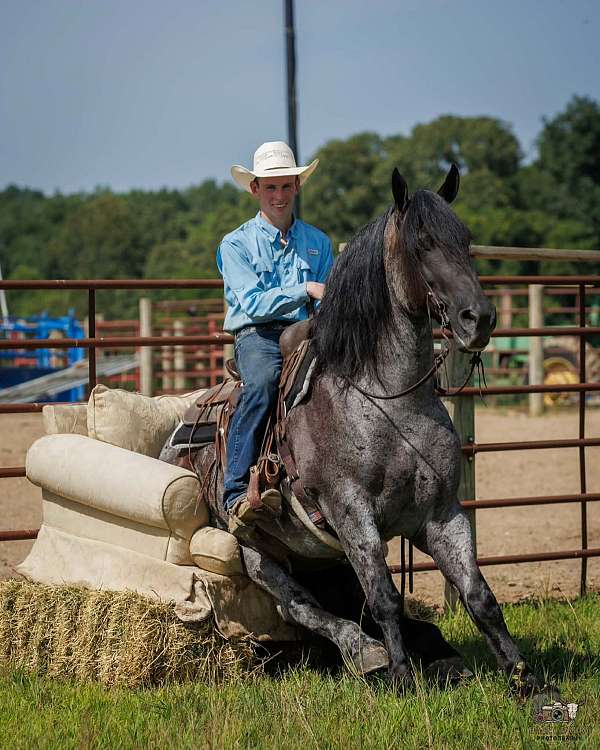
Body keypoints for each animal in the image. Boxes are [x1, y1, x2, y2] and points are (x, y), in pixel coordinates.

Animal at [160, 165, 539, 694]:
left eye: (465, 240)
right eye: (422, 242)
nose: (479, 318)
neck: (389, 400)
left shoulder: (442, 513)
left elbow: (478, 594)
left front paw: (525, 679)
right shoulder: (351, 511)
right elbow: (384, 597)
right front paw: (401, 678)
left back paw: (436, 656)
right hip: (251, 552)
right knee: (298, 606)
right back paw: (366, 651)